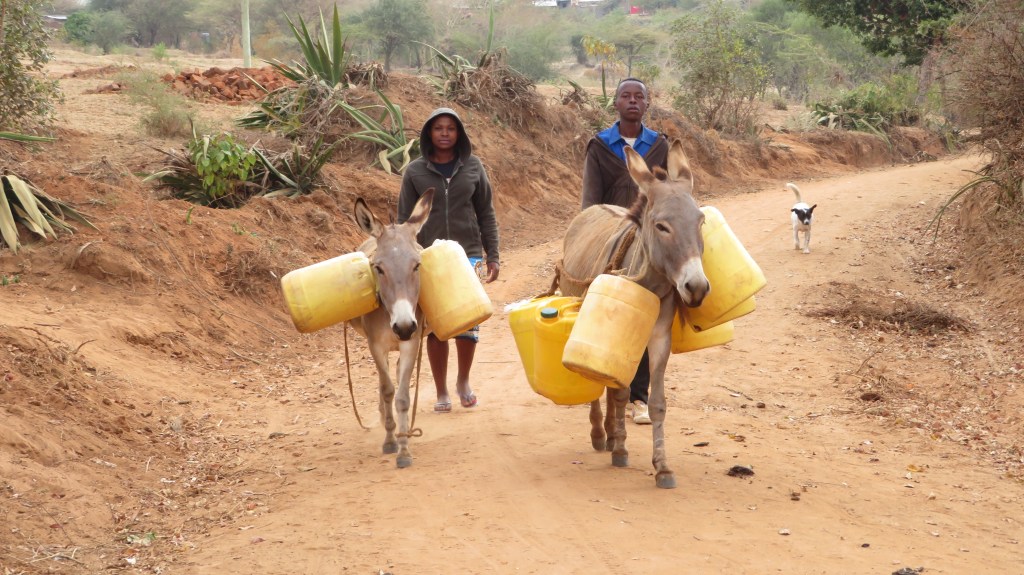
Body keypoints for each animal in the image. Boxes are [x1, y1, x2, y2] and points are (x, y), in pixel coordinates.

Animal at [348, 188, 434, 468]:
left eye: (417, 265)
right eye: (379, 268)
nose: (404, 327)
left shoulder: (411, 343)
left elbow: (403, 397)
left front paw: (405, 449)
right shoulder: (376, 345)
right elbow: (387, 390)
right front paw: (389, 441)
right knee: (383, 381)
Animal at [557, 140, 709, 489]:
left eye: (700, 222)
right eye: (662, 226)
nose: (696, 287)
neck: (649, 282)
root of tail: (594, 208)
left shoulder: (659, 338)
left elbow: (657, 403)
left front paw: (663, 467)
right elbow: (619, 390)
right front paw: (621, 450)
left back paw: (612, 433)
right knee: (599, 385)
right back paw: (602, 434)